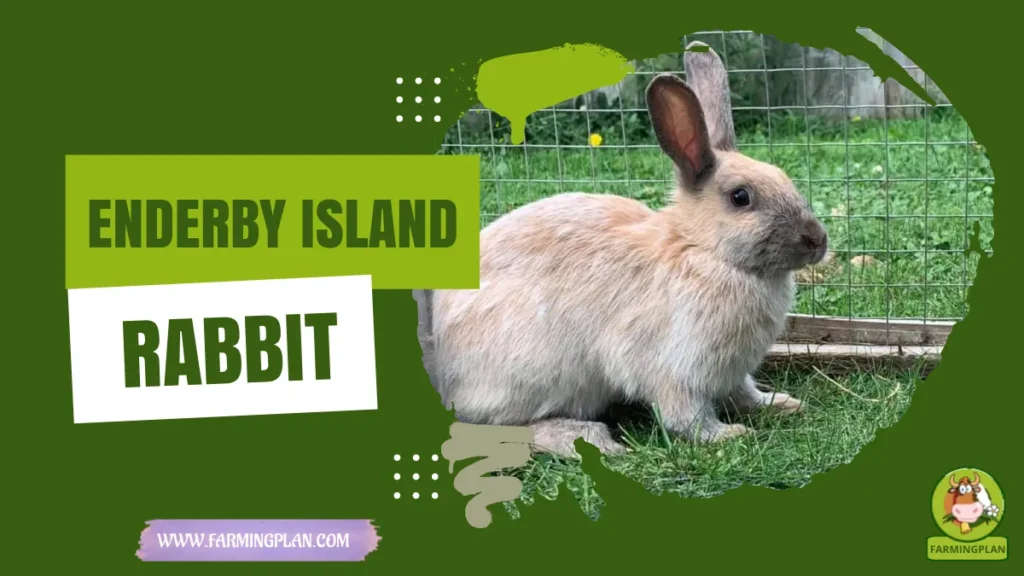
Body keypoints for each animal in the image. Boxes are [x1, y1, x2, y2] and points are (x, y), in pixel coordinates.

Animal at [421, 40, 829, 459]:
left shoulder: (732, 372)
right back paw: (588, 437)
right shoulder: (676, 369)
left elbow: (745, 392)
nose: (818, 240)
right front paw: (727, 435)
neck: (701, 250)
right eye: (741, 197)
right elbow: (687, 416)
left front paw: (783, 404)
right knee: (505, 426)